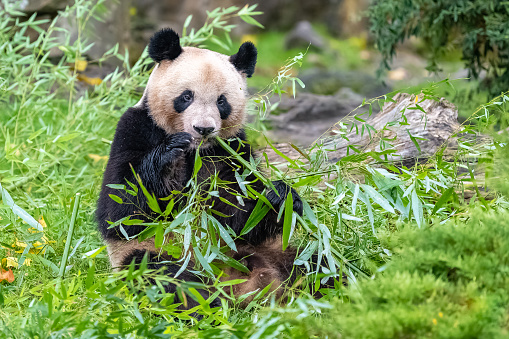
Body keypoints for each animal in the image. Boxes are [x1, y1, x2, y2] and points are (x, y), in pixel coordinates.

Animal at [96, 27, 308, 310]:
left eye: (222, 102)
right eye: (186, 96)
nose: (203, 129)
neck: (196, 152)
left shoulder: (231, 150)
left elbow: (240, 216)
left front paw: (278, 197)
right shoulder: (135, 129)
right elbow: (121, 209)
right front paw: (168, 158)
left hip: (276, 253)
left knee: (318, 266)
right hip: (157, 254)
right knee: (160, 275)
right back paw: (202, 305)